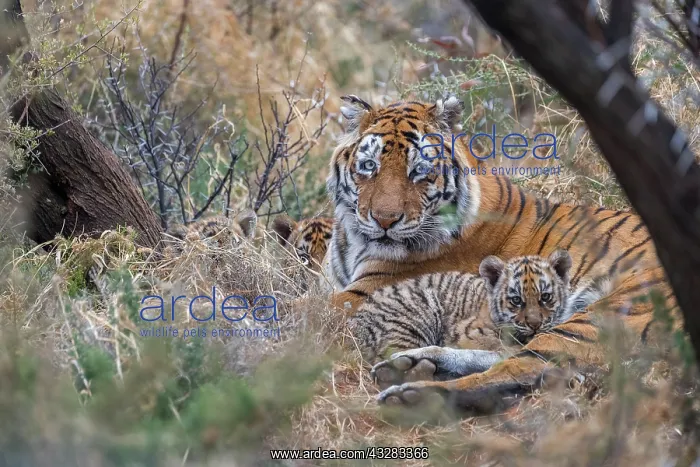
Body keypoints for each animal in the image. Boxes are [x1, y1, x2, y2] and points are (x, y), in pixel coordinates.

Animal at [324, 94, 678, 412]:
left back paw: (415, 393)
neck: (354, 240)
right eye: (369, 166)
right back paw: (416, 362)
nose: (384, 220)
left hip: (604, 315)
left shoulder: (363, 294)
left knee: (522, 368)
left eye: (419, 171)